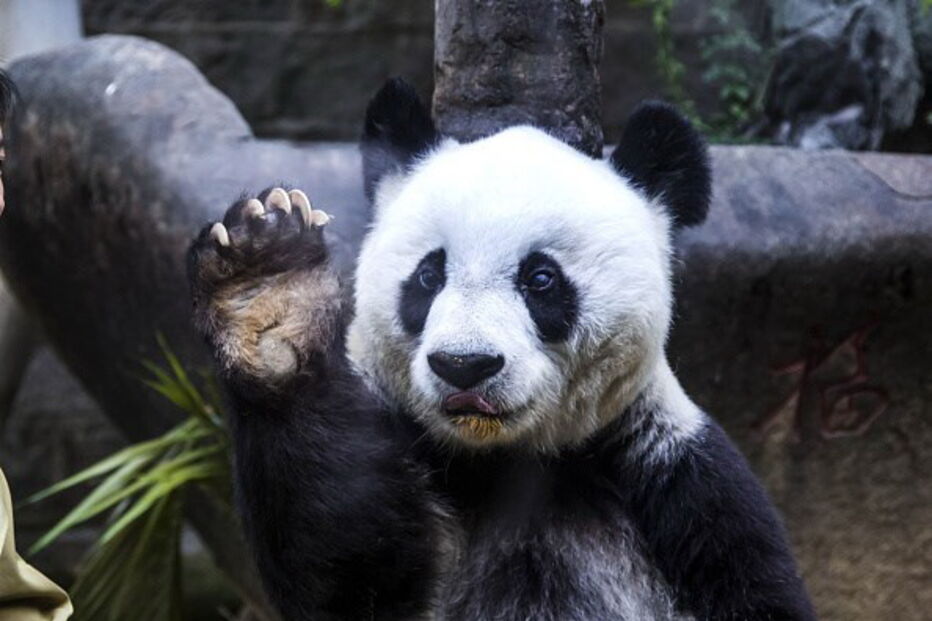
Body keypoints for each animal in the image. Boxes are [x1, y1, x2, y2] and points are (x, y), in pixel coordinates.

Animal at [187, 78, 815, 620]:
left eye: (541, 279)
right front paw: (267, 280)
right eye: (428, 276)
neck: (502, 458)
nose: (465, 365)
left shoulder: (674, 483)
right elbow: (343, 564)